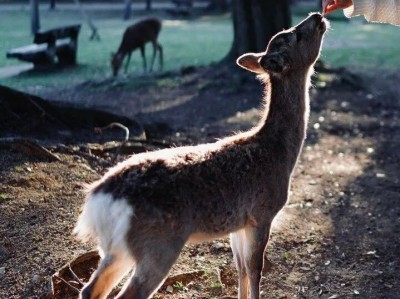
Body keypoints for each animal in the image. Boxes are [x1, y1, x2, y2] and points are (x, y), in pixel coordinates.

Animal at [74, 13, 328, 299]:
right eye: (295, 35)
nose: (317, 16)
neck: (281, 154)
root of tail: (98, 200)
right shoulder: (261, 213)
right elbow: (255, 269)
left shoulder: (238, 223)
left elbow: (240, 267)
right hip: (158, 243)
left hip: (116, 248)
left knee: (90, 289)